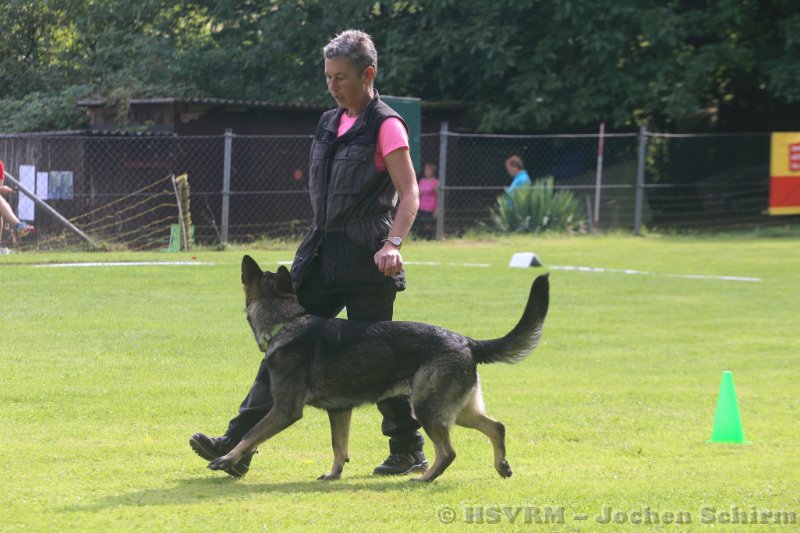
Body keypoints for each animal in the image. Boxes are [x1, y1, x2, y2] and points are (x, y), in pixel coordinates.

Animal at [207, 255, 549, 482]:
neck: (286, 321)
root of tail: (465, 340)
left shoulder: (285, 409)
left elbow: (251, 434)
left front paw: (226, 458)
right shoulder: (340, 411)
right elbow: (339, 446)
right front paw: (334, 474)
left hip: (426, 407)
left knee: (449, 451)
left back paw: (425, 478)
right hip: (457, 409)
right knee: (496, 427)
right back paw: (501, 466)